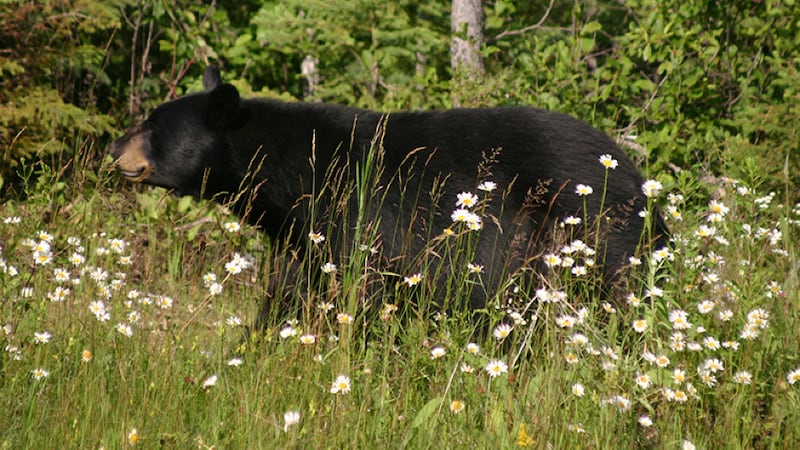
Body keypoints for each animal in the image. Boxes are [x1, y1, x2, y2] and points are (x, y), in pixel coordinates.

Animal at [111, 66, 667, 328]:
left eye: (153, 125)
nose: (114, 147)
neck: (297, 174)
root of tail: (639, 179)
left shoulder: (360, 218)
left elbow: (365, 290)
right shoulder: (301, 236)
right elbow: (289, 294)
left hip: (591, 232)